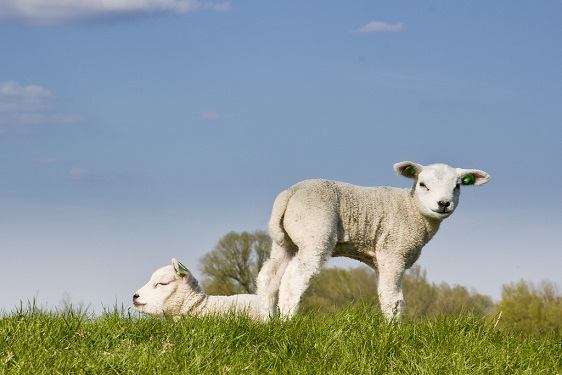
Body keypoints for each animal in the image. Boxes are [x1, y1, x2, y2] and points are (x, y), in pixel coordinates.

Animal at [256, 162, 488, 320]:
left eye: (457, 186)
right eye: (423, 184)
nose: (444, 203)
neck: (411, 208)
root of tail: (289, 193)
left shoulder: (382, 259)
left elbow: (384, 293)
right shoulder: (394, 253)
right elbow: (393, 299)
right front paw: (393, 332)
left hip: (285, 242)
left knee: (269, 276)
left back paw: (266, 320)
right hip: (315, 234)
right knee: (294, 278)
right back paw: (287, 320)